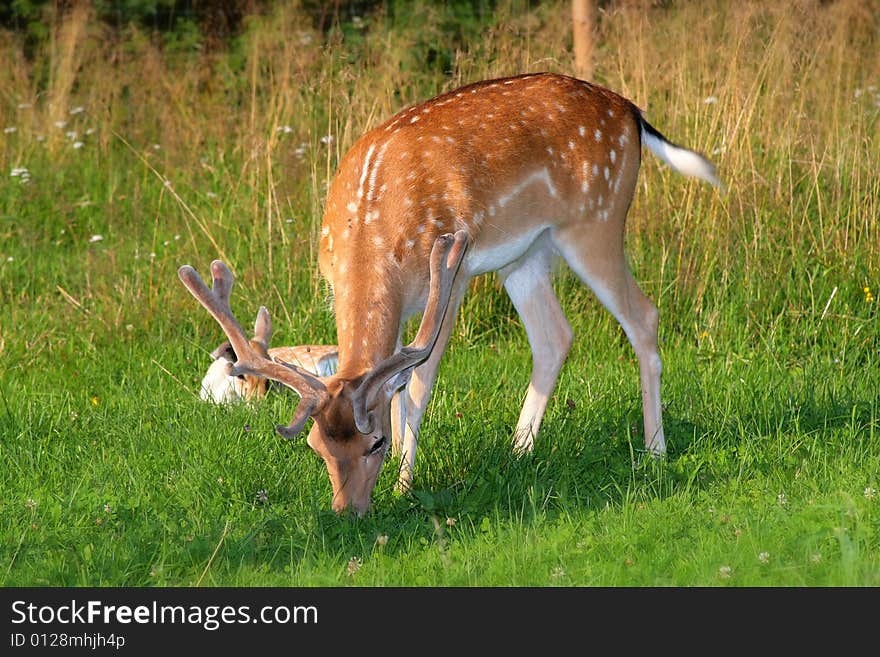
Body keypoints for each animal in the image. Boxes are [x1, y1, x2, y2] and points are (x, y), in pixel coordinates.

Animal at [179, 70, 720, 512]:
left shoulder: (452, 275)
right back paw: (518, 453)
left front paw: (404, 484)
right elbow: (395, 387)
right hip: (525, 255)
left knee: (643, 316)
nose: (347, 511)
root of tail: (631, 112)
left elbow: (417, 388)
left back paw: (654, 452)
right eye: (316, 446)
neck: (374, 237)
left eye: (373, 444)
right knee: (555, 336)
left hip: (595, 220)